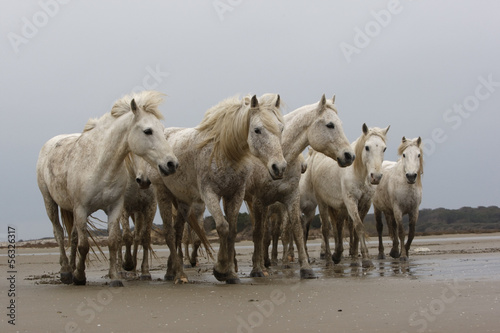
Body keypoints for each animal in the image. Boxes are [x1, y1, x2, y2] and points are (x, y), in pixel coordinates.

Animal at [35, 91, 176, 286]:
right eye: (148, 131)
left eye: (163, 131)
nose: (172, 164)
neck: (100, 165)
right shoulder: (82, 209)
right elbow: (85, 245)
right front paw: (80, 276)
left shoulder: (115, 207)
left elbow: (113, 241)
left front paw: (115, 277)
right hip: (49, 202)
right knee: (59, 233)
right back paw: (66, 272)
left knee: (73, 237)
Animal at [148, 93, 288, 282]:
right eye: (257, 130)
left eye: (281, 128)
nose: (279, 167)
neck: (225, 151)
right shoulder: (210, 194)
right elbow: (222, 226)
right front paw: (221, 269)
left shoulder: (235, 194)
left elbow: (232, 230)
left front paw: (231, 273)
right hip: (163, 193)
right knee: (169, 234)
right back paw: (180, 275)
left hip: (183, 201)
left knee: (177, 233)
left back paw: (172, 271)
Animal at [244, 94, 354, 278]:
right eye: (330, 125)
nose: (349, 156)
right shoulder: (259, 200)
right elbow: (259, 233)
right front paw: (257, 269)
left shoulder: (291, 198)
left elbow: (297, 230)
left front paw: (306, 268)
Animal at [308, 123, 390, 266]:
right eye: (367, 147)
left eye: (384, 148)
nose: (376, 177)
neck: (359, 174)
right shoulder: (351, 201)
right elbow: (359, 226)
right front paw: (366, 259)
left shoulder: (365, 203)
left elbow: (355, 230)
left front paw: (356, 259)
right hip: (323, 203)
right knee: (326, 229)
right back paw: (329, 258)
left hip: (338, 207)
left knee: (338, 227)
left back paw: (337, 254)